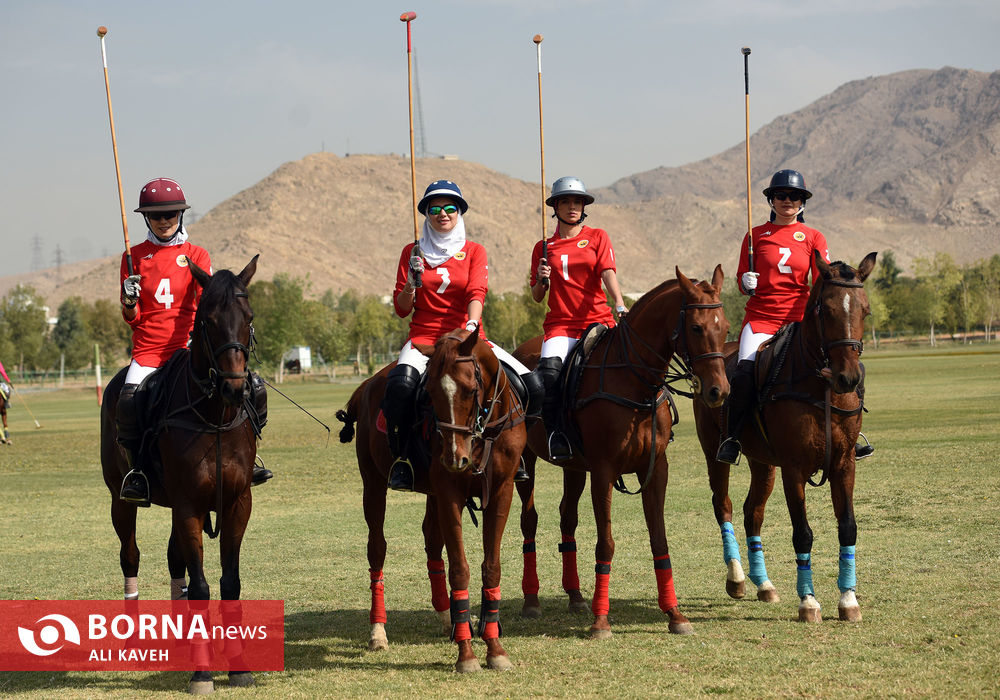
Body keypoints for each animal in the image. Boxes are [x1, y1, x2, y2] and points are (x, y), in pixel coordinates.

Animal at [100, 255, 261, 694]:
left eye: (248, 316)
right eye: (207, 319)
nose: (235, 388)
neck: (214, 416)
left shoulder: (237, 502)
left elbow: (229, 582)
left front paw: (238, 667)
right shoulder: (189, 504)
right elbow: (202, 586)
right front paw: (202, 674)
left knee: (175, 559)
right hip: (121, 499)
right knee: (130, 555)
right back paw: (134, 639)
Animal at [336, 327, 527, 672]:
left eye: (470, 389)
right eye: (432, 395)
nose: (453, 458)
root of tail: (366, 385)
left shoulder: (501, 490)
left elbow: (491, 566)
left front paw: (494, 648)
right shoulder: (450, 491)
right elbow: (460, 568)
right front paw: (467, 655)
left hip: (431, 493)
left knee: (431, 540)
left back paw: (448, 618)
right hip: (373, 483)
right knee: (377, 548)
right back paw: (378, 631)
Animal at [512, 266, 730, 639]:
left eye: (726, 326)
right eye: (696, 328)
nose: (719, 391)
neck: (635, 382)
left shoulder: (655, 469)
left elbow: (660, 540)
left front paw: (675, 615)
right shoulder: (603, 471)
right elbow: (606, 543)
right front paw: (601, 621)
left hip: (573, 466)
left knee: (567, 517)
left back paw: (575, 596)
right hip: (527, 460)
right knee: (530, 520)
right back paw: (531, 600)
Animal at [692, 251, 877, 623]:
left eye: (864, 310)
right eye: (826, 309)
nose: (848, 378)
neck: (821, 386)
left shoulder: (845, 462)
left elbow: (848, 526)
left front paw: (848, 600)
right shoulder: (794, 468)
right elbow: (802, 533)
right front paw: (809, 602)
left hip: (762, 462)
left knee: (753, 511)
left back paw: (764, 584)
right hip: (713, 450)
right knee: (724, 506)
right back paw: (737, 579)